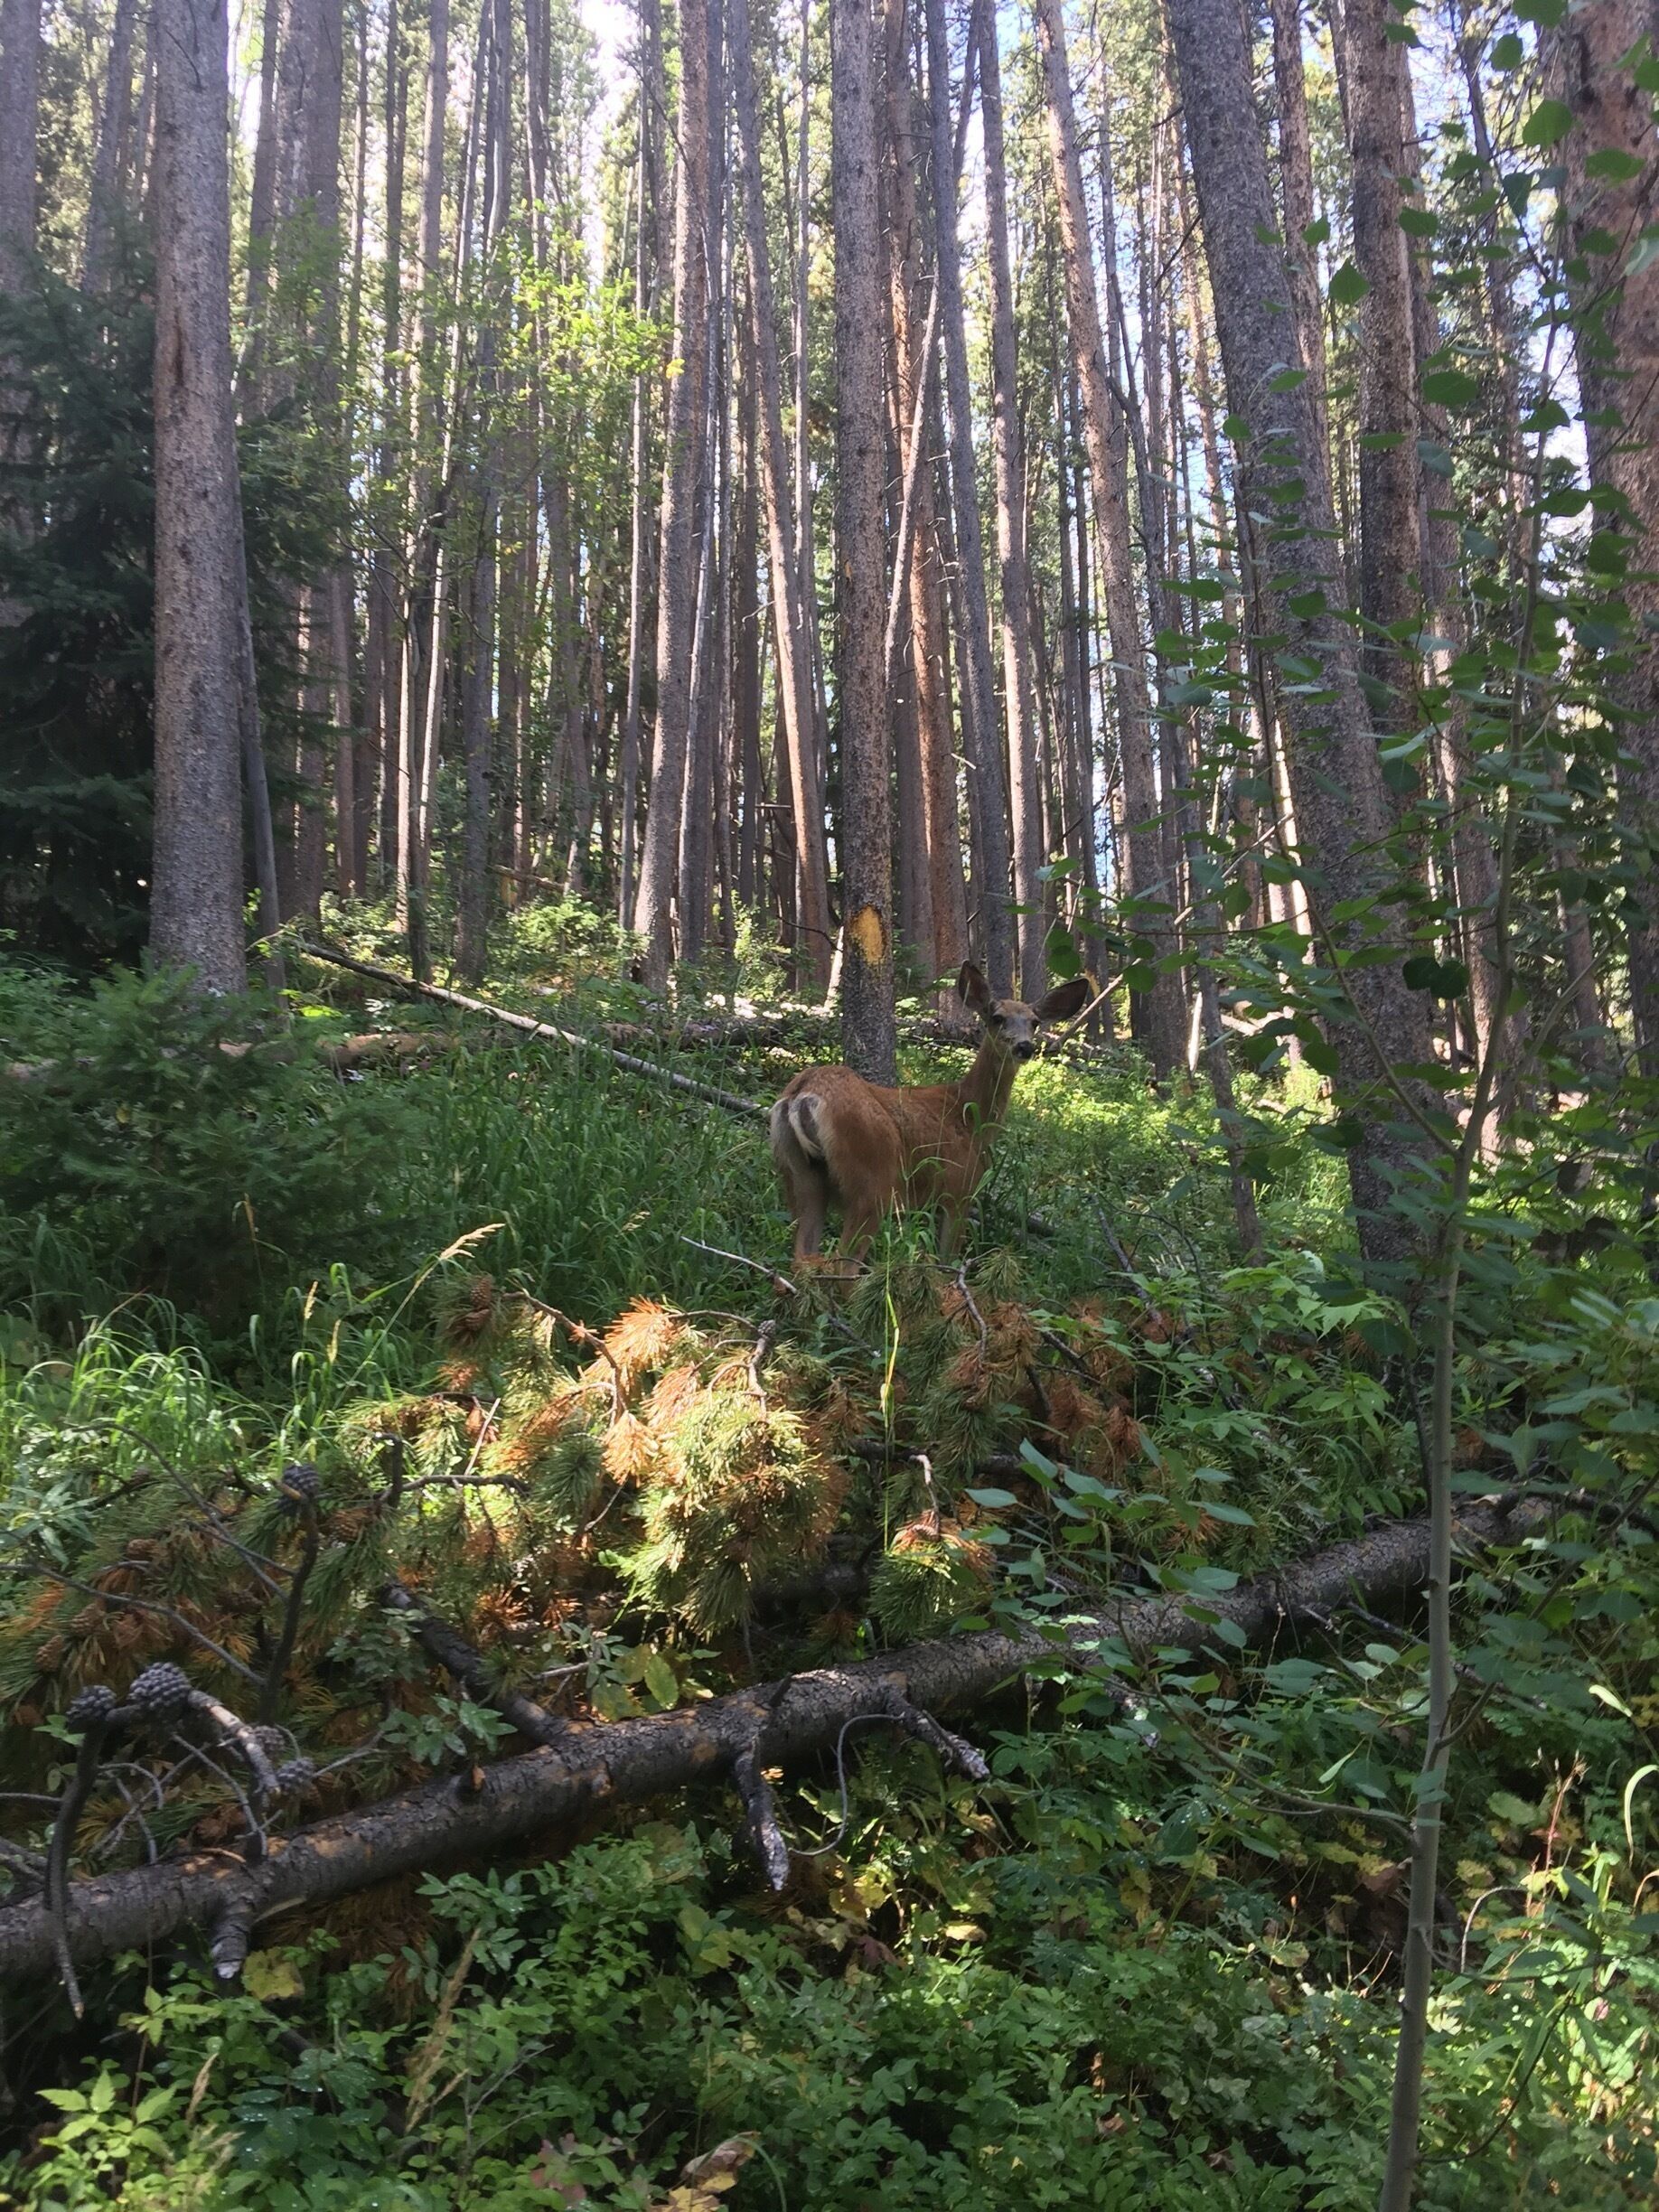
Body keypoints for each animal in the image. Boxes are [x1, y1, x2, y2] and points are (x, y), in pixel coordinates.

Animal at [769, 962, 1091, 1265]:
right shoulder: (959, 1189)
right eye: (997, 1018)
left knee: (801, 1259)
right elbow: (945, 1262)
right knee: (841, 1263)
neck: (970, 1115)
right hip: (871, 1180)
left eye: (1034, 1022)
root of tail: (803, 1094)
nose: (1025, 1047)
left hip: (800, 1176)